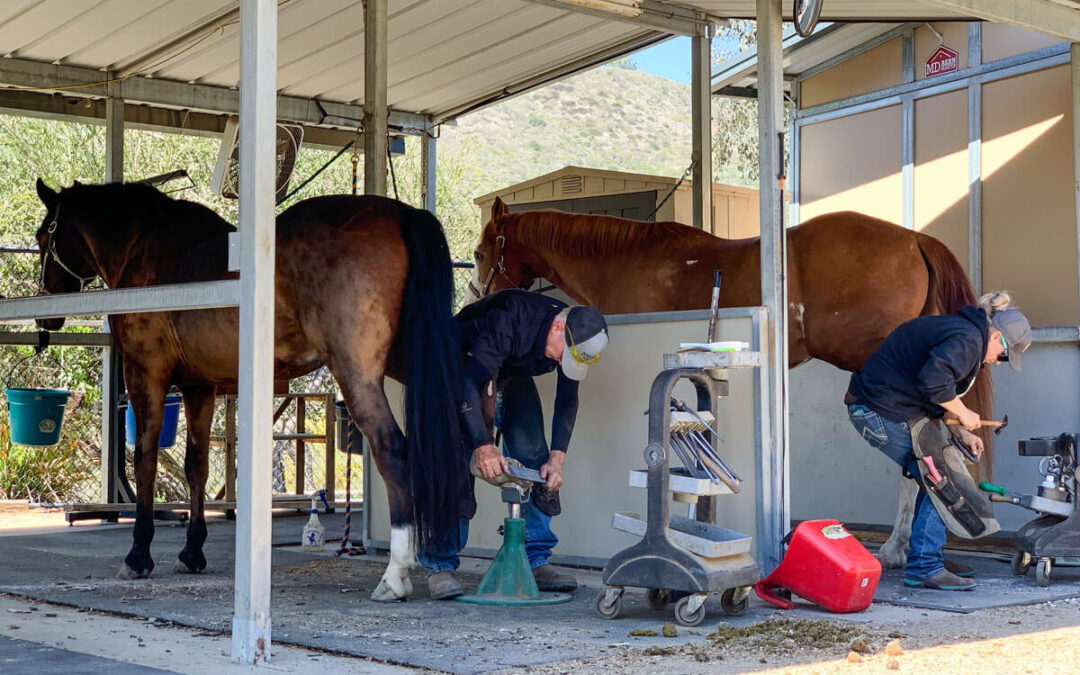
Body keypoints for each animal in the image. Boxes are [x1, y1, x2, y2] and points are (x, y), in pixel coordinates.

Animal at [33, 179, 465, 602]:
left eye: (43, 236)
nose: (45, 315)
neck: (143, 244)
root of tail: (401, 214)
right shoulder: (199, 386)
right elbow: (196, 466)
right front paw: (192, 551)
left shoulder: (146, 375)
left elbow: (145, 461)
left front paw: (138, 555)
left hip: (356, 373)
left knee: (393, 450)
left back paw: (395, 574)